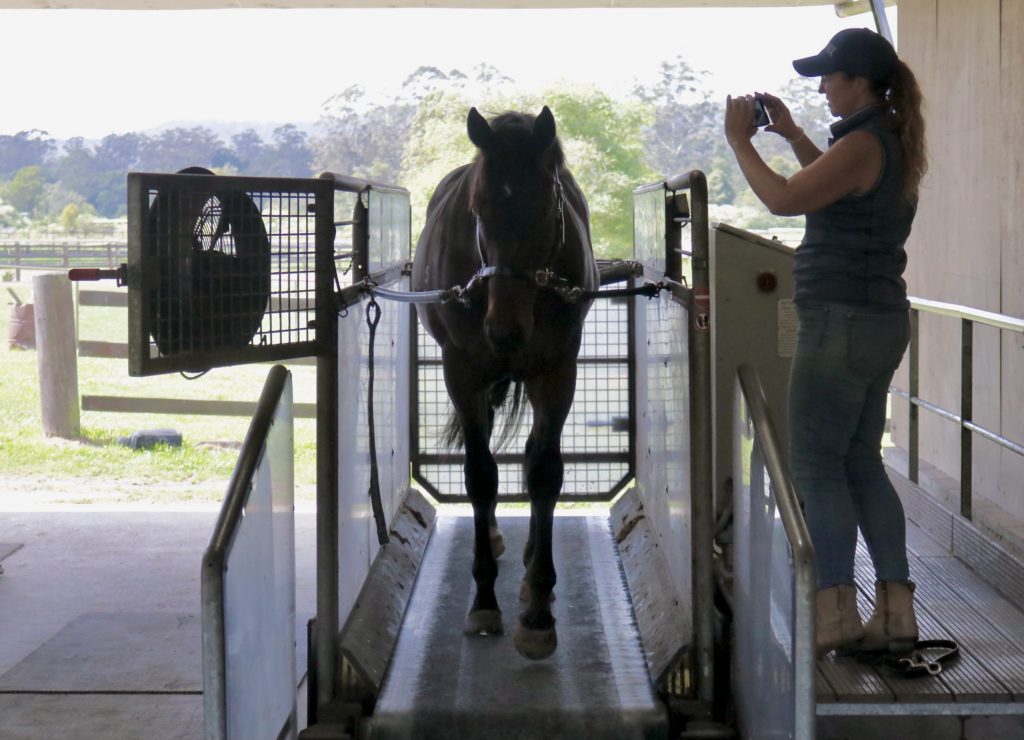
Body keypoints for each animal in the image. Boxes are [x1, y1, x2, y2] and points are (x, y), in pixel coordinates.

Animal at [412, 106, 599, 659]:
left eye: (548, 205)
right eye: (478, 209)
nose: (505, 330)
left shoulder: (557, 371)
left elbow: (544, 473)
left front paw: (537, 609)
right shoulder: (463, 373)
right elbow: (480, 477)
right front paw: (484, 601)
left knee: (536, 454)